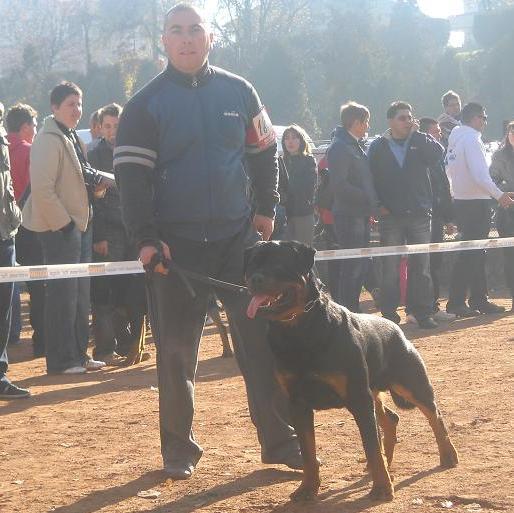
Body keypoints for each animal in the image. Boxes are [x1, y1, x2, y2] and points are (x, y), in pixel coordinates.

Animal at [243, 239, 456, 500]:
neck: (299, 330)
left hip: (411, 384)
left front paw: (382, 488)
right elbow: (308, 452)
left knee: (435, 416)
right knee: (390, 420)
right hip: (373, 391)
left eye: (278, 264)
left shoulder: (358, 397)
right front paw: (307, 489)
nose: (255, 279)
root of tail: (396, 327)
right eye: (251, 265)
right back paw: (383, 464)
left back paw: (448, 456)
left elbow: (370, 444)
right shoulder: (297, 403)